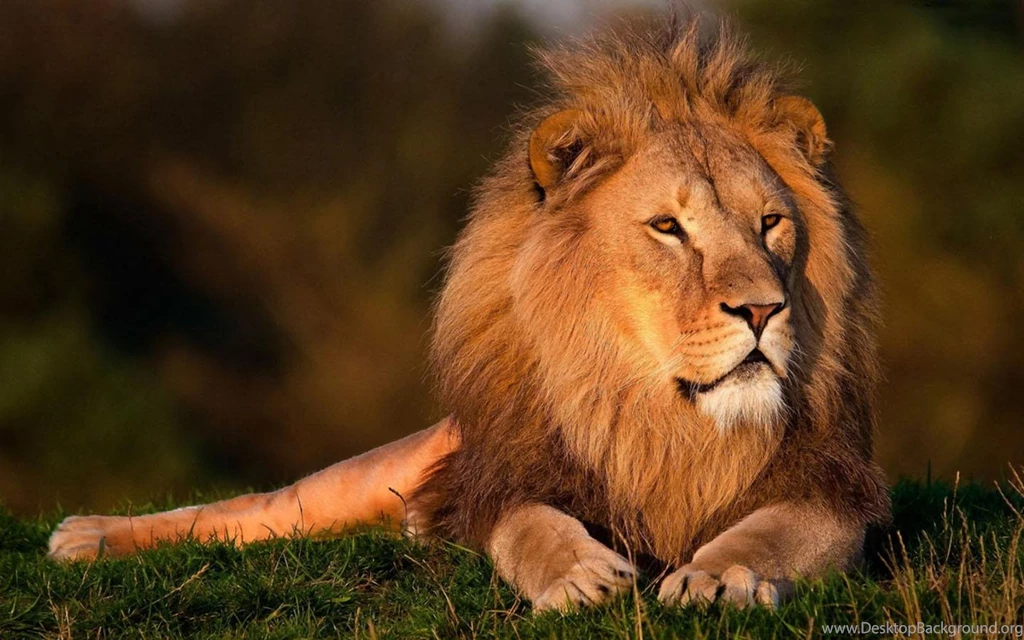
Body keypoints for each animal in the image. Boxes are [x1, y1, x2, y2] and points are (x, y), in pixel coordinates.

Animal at [48, 17, 890, 612]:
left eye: (771, 223)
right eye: (667, 228)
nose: (763, 309)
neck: (661, 419)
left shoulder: (832, 490)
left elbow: (773, 532)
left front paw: (719, 575)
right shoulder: (504, 478)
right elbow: (529, 527)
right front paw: (579, 576)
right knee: (254, 509)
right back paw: (83, 535)